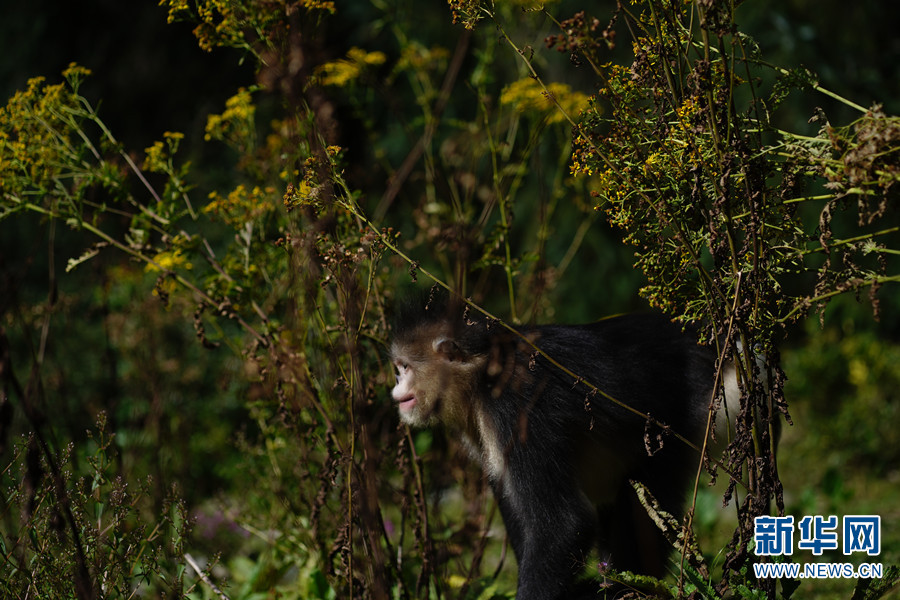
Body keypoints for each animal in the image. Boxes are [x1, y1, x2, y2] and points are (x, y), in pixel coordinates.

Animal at [389, 293, 744, 600]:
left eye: (404, 368)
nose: (396, 391)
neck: (484, 371)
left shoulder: (515, 406)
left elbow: (562, 524)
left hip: (674, 428)